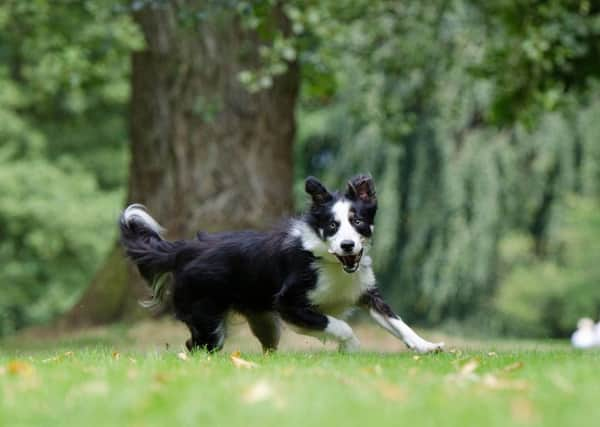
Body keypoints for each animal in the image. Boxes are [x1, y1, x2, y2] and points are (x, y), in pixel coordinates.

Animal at [119, 174, 442, 354]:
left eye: (358, 222)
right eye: (332, 226)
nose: (348, 245)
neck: (331, 262)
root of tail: (184, 249)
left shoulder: (364, 292)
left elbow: (398, 323)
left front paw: (427, 346)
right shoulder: (289, 304)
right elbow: (338, 325)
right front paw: (351, 347)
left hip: (263, 322)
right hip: (206, 318)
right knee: (195, 346)